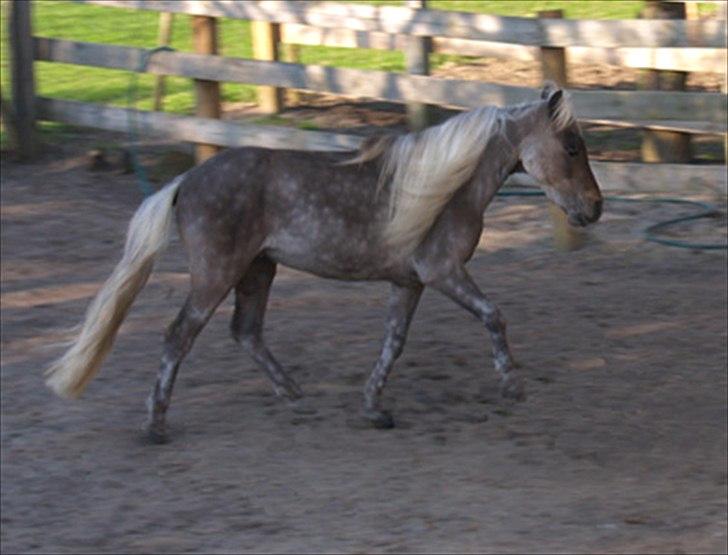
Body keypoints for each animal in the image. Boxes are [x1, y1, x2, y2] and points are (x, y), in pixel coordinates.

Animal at [45, 83, 604, 444]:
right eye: (572, 146)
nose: (595, 208)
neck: (445, 191)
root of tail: (186, 181)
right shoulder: (445, 273)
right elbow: (494, 316)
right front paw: (512, 386)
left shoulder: (410, 283)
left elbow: (393, 344)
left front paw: (374, 408)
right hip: (216, 274)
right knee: (179, 335)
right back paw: (156, 425)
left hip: (258, 270)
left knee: (246, 331)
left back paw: (294, 394)